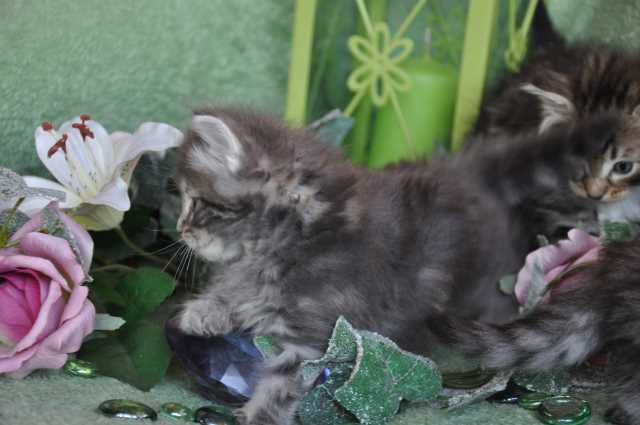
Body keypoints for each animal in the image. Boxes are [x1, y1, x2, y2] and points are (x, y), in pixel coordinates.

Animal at [172, 106, 612, 425]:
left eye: (197, 202)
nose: (180, 228)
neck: (296, 241)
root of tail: (462, 172)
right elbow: (236, 289)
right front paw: (205, 311)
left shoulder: (314, 340)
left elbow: (281, 386)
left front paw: (258, 417)